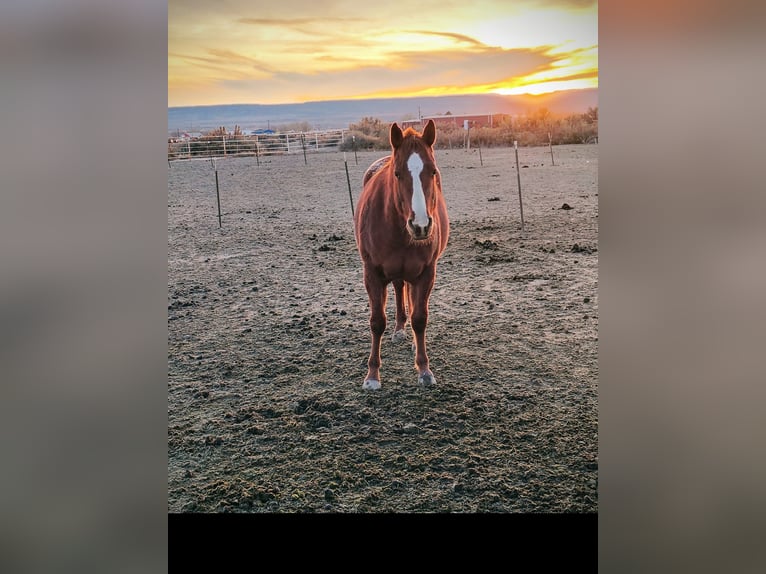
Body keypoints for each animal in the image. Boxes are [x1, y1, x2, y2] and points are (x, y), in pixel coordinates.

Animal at [353, 119, 449, 390]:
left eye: (433, 172)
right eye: (397, 174)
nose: (421, 226)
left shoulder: (427, 273)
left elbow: (420, 319)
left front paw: (424, 370)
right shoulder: (372, 274)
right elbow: (377, 322)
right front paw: (372, 375)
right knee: (398, 289)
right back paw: (397, 329)